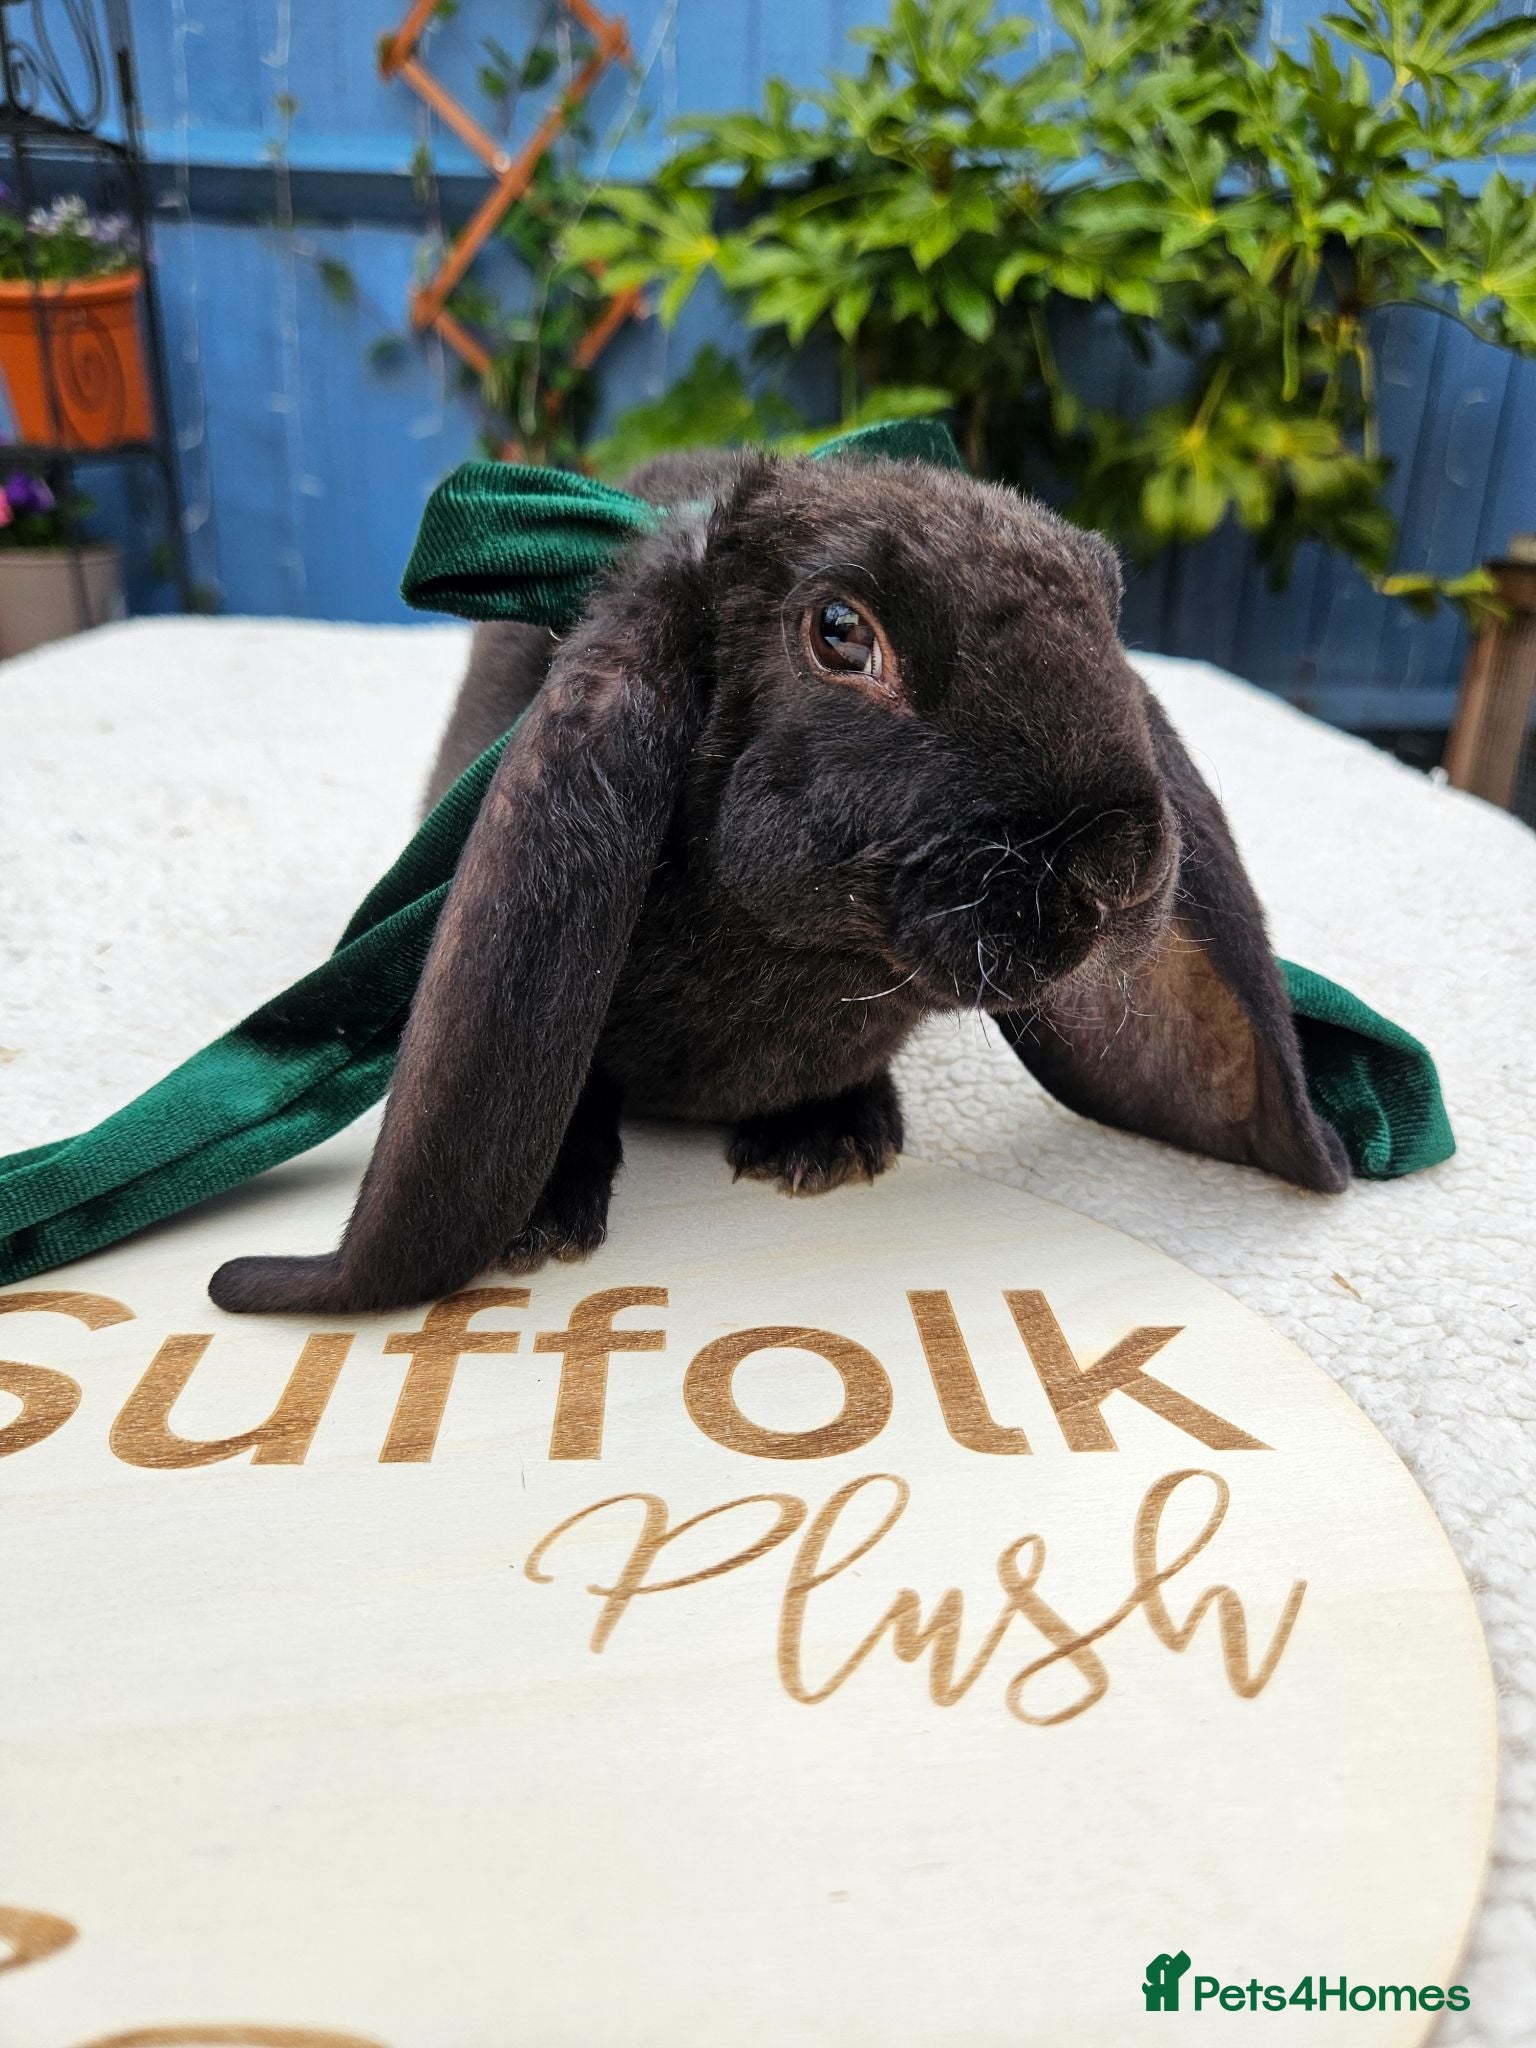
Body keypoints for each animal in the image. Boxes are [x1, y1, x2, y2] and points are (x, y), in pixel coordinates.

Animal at [209, 446, 1347, 1316]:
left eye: (1110, 615)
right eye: (841, 632)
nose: (1120, 867)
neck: (794, 965)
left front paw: (824, 1142)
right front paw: (539, 1217)